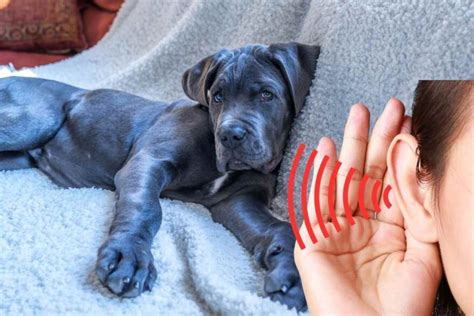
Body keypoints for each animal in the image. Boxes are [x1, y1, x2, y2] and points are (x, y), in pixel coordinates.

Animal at [0, 42, 320, 312]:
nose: (230, 135)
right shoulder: (148, 162)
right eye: (218, 96)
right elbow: (145, 208)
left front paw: (295, 277)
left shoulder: (238, 199)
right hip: (34, 121)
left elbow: (281, 228)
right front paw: (129, 256)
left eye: (267, 95)